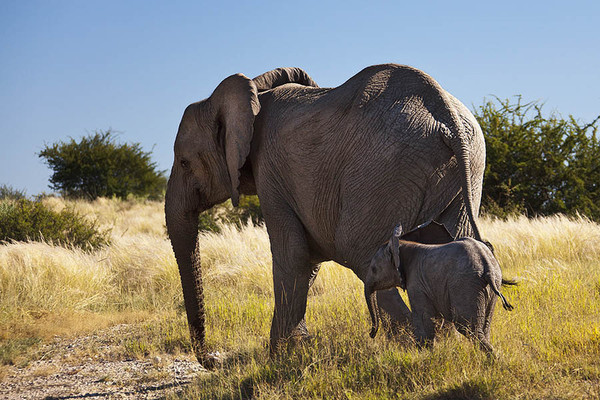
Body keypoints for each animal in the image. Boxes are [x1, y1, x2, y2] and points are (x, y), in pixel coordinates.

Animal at [165, 63, 488, 366]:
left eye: (184, 163)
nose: (212, 359)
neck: (254, 91)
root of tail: (444, 111)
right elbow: (308, 260)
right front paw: (293, 349)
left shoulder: (269, 170)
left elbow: (293, 254)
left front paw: (279, 358)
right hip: (468, 165)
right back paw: (448, 341)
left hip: (385, 168)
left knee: (361, 249)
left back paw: (410, 346)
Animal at [366, 223, 516, 354]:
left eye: (373, 269)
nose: (371, 334)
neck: (402, 245)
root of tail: (487, 265)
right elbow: (435, 320)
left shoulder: (417, 285)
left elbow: (423, 319)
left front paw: (423, 355)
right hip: (491, 285)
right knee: (485, 327)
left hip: (465, 285)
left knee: (468, 327)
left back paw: (493, 360)